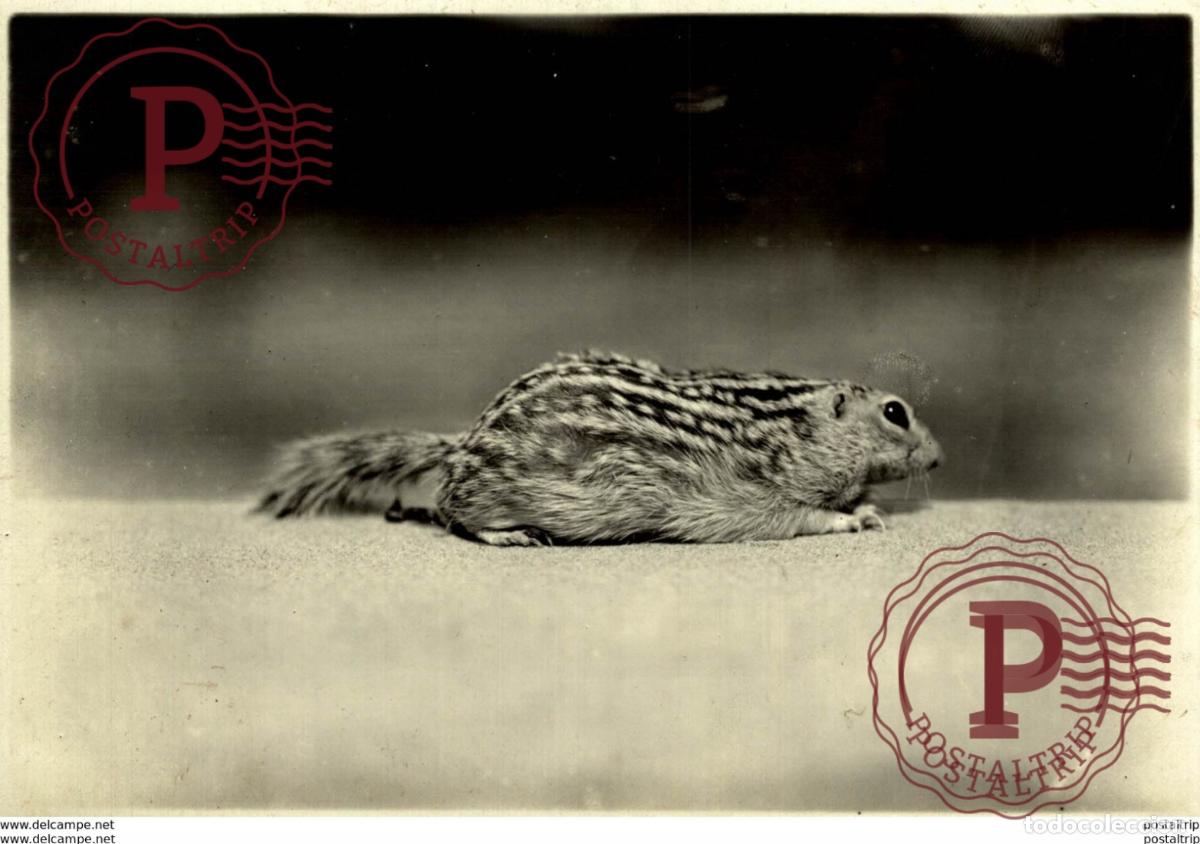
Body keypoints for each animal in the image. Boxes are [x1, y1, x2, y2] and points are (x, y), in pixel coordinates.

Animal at [257, 351, 943, 545]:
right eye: (895, 412)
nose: (938, 458)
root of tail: (461, 445)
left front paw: (866, 501)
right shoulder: (754, 500)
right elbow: (805, 518)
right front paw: (856, 515)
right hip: (493, 494)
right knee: (455, 515)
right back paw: (509, 535)